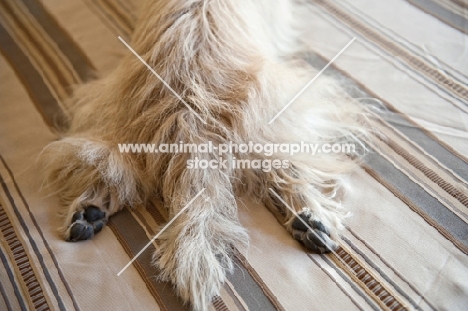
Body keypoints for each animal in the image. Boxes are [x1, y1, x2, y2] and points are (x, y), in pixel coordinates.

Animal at [40, 1, 370, 310]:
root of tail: (190, 120)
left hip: (105, 123)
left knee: (111, 170)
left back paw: (89, 211)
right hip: (290, 111)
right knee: (292, 169)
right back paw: (311, 217)